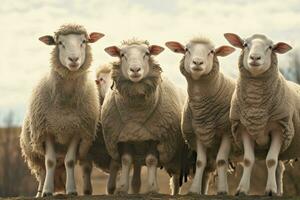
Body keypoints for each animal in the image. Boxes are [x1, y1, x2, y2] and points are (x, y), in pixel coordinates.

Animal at [19, 23, 104, 197]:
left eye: (84, 41)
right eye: (60, 43)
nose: (74, 59)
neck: (65, 103)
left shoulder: (77, 131)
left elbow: (69, 162)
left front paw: (71, 190)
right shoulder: (46, 131)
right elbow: (49, 162)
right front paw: (47, 191)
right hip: (34, 152)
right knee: (42, 171)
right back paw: (40, 192)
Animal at [102, 38, 188, 195]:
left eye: (147, 53)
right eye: (122, 54)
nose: (135, 70)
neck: (136, 114)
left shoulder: (155, 136)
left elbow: (151, 160)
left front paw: (153, 188)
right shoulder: (125, 136)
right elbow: (126, 160)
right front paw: (122, 188)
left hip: (176, 153)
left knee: (176, 176)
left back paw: (175, 193)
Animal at [165, 36, 236, 195]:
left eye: (212, 51)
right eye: (186, 49)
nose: (197, 62)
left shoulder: (227, 132)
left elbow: (222, 161)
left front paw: (223, 190)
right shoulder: (199, 133)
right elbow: (199, 162)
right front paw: (194, 191)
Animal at [224, 32, 296, 195]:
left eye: (270, 47)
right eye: (245, 44)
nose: (255, 58)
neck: (256, 107)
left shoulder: (280, 129)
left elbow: (270, 161)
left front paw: (270, 190)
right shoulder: (244, 129)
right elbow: (248, 160)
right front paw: (242, 190)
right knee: (280, 168)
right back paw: (279, 192)